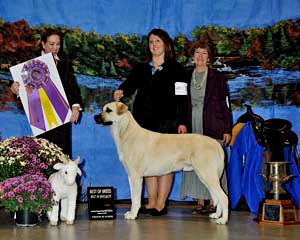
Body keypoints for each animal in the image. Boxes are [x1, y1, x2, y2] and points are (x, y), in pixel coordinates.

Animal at [95, 102, 229, 224]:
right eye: (103, 109)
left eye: (108, 110)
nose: (95, 117)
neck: (126, 132)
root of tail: (216, 144)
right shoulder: (130, 175)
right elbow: (133, 196)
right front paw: (131, 213)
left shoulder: (136, 176)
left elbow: (136, 198)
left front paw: (133, 215)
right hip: (205, 176)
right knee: (217, 196)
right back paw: (216, 215)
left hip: (207, 174)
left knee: (223, 197)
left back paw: (223, 220)